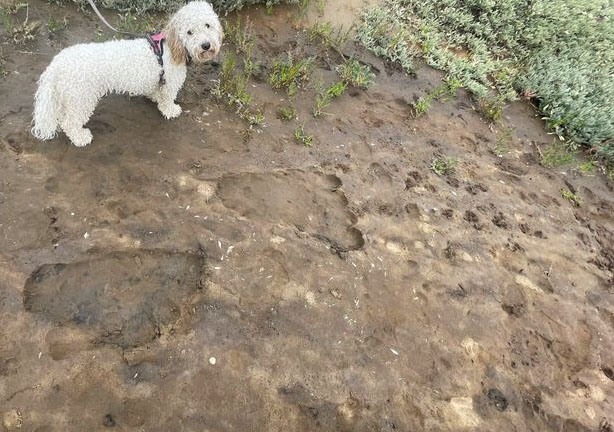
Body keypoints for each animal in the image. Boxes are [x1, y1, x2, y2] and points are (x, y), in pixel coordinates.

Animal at [31, 0, 224, 147]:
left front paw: (155, 98)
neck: (171, 48)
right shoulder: (170, 84)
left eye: (208, 25)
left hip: (69, 97)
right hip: (82, 98)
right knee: (69, 122)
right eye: (190, 32)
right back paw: (80, 138)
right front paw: (171, 110)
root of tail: (57, 63)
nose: (206, 45)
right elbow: (167, 100)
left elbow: (156, 92)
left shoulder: (159, 82)